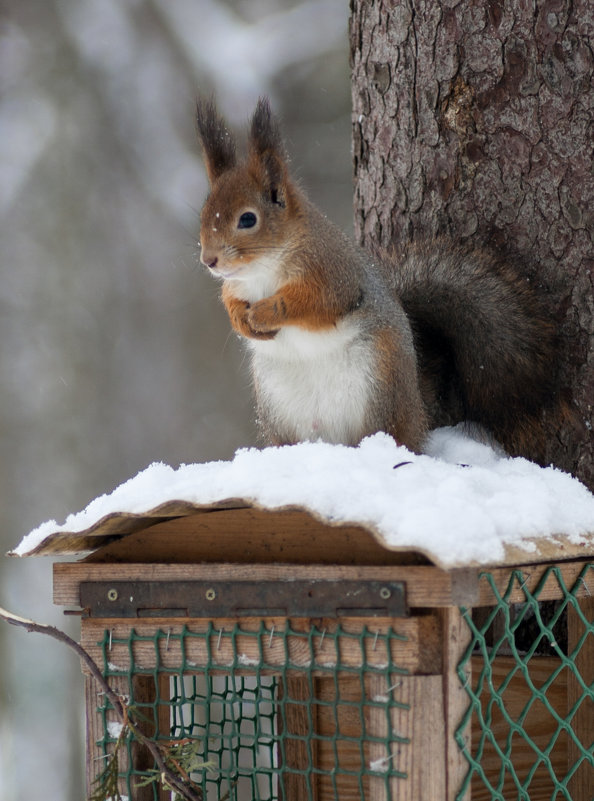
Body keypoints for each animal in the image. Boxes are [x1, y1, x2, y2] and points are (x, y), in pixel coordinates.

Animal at [194, 97, 560, 462]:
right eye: (204, 214)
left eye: (247, 219)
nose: (208, 260)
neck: (263, 270)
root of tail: (419, 411)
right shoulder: (236, 284)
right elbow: (230, 298)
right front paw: (240, 319)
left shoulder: (334, 274)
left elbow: (316, 304)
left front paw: (264, 312)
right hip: (278, 403)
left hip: (381, 383)